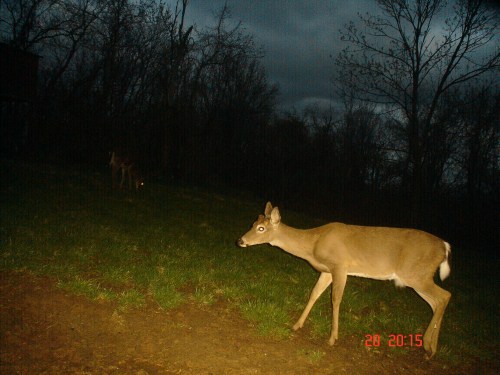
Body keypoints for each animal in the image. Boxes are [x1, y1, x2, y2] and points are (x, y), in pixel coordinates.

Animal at [236, 201, 452, 360]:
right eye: (252, 224)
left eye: (261, 228)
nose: (240, 241)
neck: (313, 244)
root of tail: (445, 246)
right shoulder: (327, 270)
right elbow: (314, 293)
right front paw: (297, 325)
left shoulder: (340, 266)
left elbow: (335, 299)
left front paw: (332, 338)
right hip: (418, 277)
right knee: (437, 302)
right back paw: (431, 348)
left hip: (416, 274)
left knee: (444, 295)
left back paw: (429, 346)